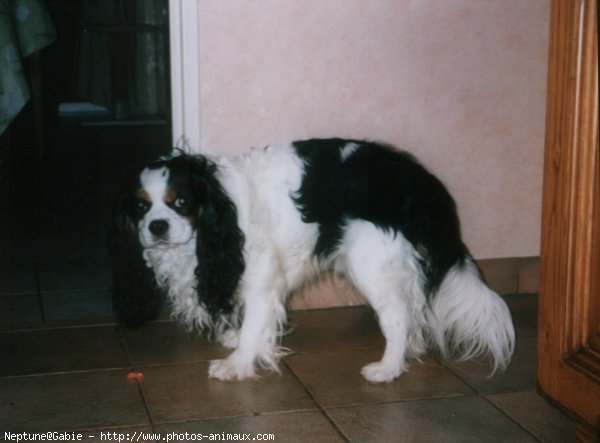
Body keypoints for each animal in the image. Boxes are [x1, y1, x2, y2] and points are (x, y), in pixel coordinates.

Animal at [110, 138, 512, 382]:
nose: (157, 226)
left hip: (372, 261)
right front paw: (237, 340)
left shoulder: (261, 278)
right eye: (142, 207)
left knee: (397, 318)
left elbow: (255, 322)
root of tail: (417, 178)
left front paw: (237, 363)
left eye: (180, 202)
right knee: (412, 311)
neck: (220, 211)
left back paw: (387, 368)